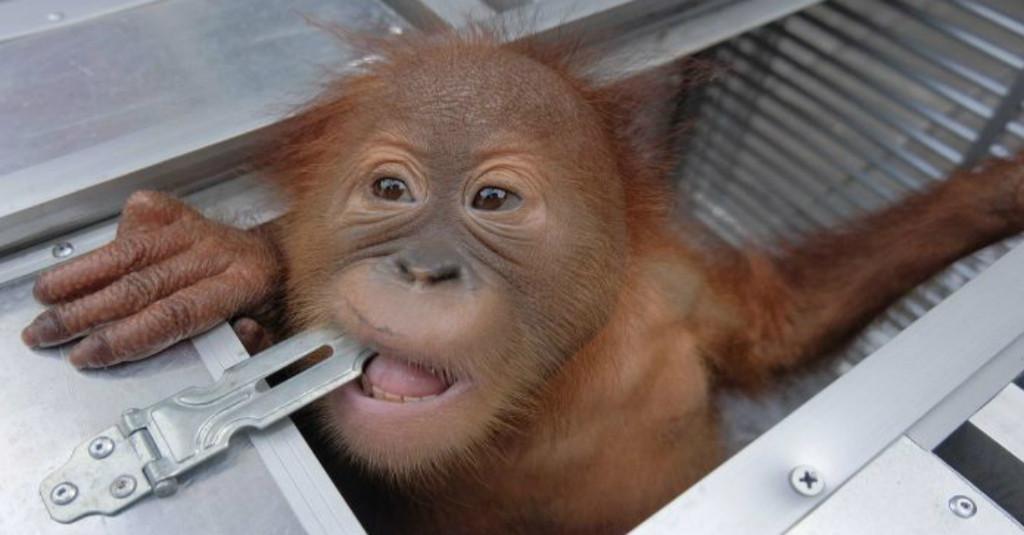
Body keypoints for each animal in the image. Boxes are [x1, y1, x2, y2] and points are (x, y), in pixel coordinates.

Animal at [20, 29, 1024, 533]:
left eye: (493, 199)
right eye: (391, 190)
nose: (422, 266)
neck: (537, 400)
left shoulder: (675, 294)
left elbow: (780, 322)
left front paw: (1001, 188)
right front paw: (216, 263)